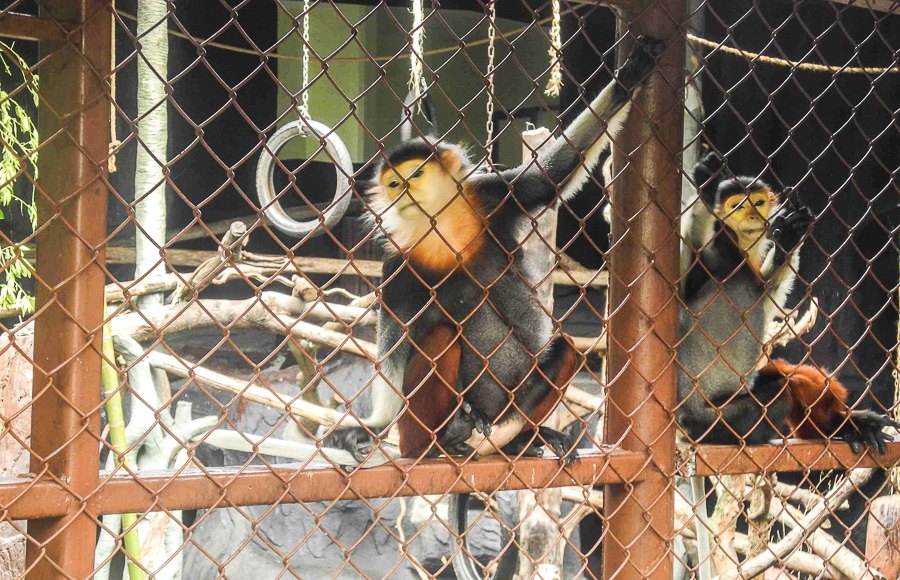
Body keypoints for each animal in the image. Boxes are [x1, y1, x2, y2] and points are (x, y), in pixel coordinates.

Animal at [325, 35, 667, 465]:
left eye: (414, 176)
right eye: (392, 184)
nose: (401, 194)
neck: (444, 229)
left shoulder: (492, 197)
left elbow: (548, 179)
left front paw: (630, 75)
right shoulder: (399, 265)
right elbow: (394, 344)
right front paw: (371, 424)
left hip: (511, 406)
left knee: (565, 348)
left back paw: (524, 439)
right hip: (423, 424)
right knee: (439, 340)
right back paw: (443, 438)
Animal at [677, 151, 899, 451]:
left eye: (757, 203)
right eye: (737, 206)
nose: (751, 215)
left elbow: (767, 291)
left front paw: (789, 239)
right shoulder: (718, 248)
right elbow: (686, 286)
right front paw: (706, 186)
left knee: (788, 377)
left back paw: (841, 425)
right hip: (712, 418)